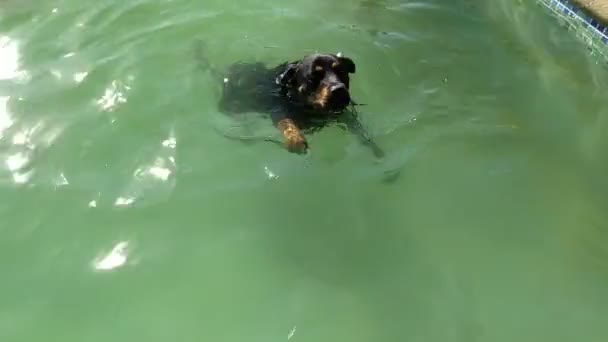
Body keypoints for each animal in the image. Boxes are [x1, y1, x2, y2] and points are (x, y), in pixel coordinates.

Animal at [195, 41, 384, 158]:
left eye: (342, 72)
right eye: (314, 76)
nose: (339, 90)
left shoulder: (342, 114)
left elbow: (360, 130)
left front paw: (374, 148)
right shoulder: (278, 110)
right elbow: (287, 124)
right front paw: (296, 140)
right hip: (232, 105)